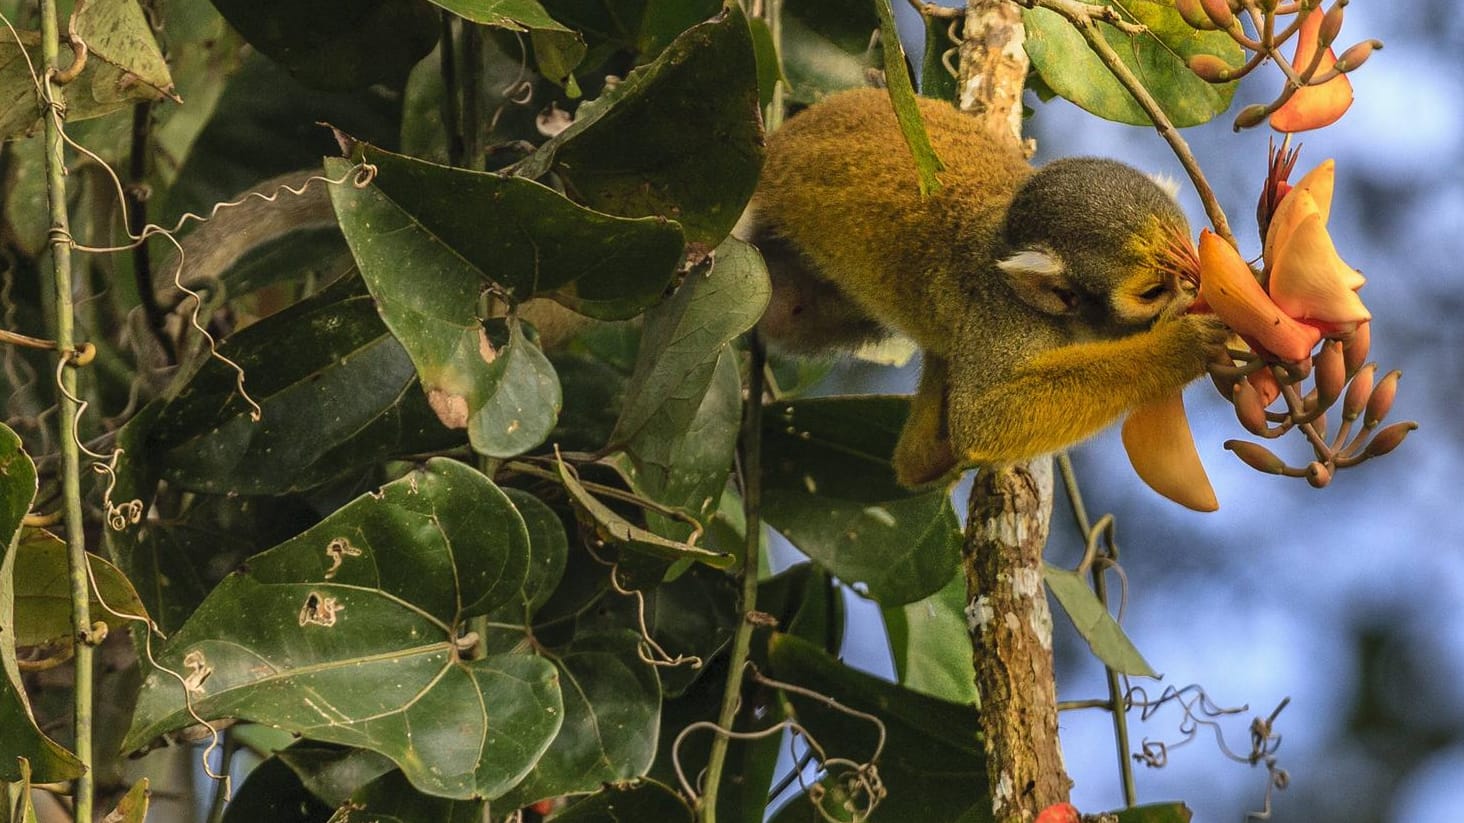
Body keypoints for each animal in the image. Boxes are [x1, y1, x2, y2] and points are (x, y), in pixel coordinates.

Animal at [737, 88, 1229, 486]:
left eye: (1190, 264)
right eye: (1152, 293)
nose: (1193, 292)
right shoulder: (1002, 314)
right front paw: (1182, 346)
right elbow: (984, 419)